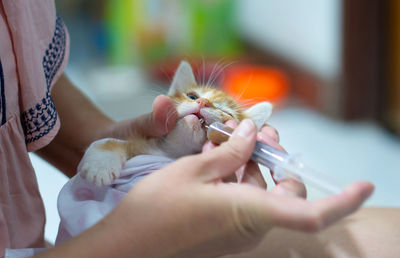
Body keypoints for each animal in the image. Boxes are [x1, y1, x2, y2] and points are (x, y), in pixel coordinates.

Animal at [79, 61, 272, 185]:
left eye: (226, 113)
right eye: (192, 96)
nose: (203, 102)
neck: (173, 154)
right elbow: (108, 141)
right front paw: (100, 165)